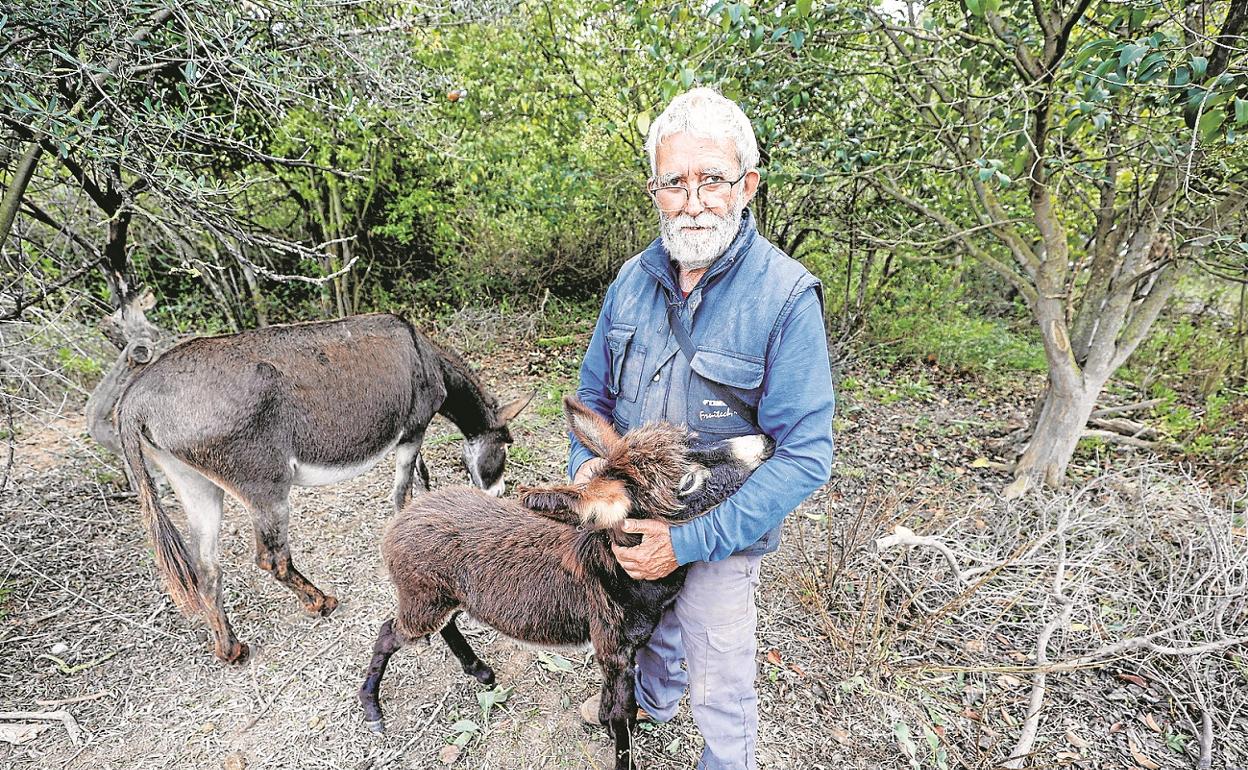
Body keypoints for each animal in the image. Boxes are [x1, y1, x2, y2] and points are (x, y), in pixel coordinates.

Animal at [356, 396, 773, 768]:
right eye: (686, 481)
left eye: (692, 439)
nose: (767, 442)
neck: (617, 569)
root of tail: (411, 510)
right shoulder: (613, 649)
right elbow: (623, 718)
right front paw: (618, 745)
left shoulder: (622, 651)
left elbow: (615, 706)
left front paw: (601, 720)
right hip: (423, 599)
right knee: (389, 631)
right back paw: (373, 710)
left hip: (443, 597)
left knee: (444, 626)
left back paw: (481, 672)